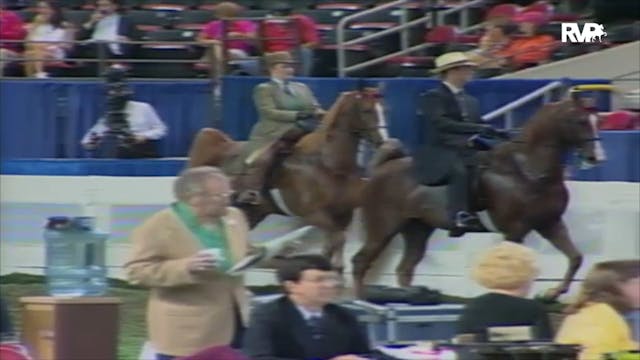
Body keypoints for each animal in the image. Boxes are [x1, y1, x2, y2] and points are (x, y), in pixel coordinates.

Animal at [188, 88, 382, 272]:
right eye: (366, 110)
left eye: (382, 109)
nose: (381, 141)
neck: (328, 163)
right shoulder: (314, 214)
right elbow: (337, 239)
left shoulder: (343, 214)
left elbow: (336, 242)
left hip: (252, 212)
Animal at [352, 95, 608, 298]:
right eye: (580, 121)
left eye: (597, 120)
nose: (596, 158)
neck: (527, 171)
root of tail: (382, 168)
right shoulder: (515, 231)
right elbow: (515, 269)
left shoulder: (550, 223)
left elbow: (575, 257)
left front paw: (553, 293)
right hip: (383, 228)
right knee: (360, 262)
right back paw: (363, 300)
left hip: (417, 229)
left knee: (404, 268)